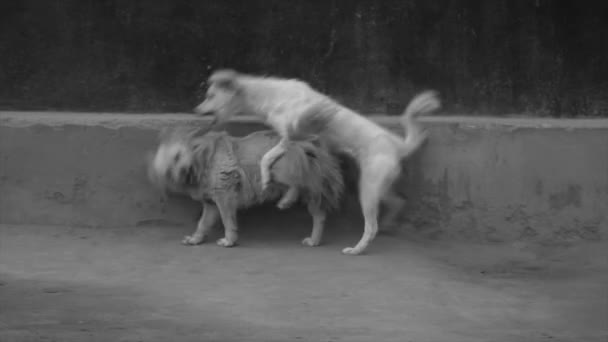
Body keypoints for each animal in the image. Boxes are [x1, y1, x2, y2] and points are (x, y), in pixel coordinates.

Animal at [146, 127, 342, 248]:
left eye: (179, 155)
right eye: (170, 163)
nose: (181, 170)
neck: (202, 160)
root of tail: (306, 141)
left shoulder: (224, 196)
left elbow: (227, 221)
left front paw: (229, 240)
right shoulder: (211, 204)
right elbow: (202, 224)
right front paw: (196, 239)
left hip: (276, 165)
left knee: (295, 183)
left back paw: (287, 200)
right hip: (310, 191)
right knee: (319, 215)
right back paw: (314, 239)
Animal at [197, 69, 440, 254]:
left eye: (210, 95)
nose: (196, 110)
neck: (272, 96)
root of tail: (396, 144)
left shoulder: (292, 138)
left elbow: (267, 159)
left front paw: (269, 181)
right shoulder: (305, 144)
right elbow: (294, 176)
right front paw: (288, 198)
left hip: (368, 190)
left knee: (372, 227)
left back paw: (357, 249)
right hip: (377, 187)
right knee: (398, 202)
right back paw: (389, 225)